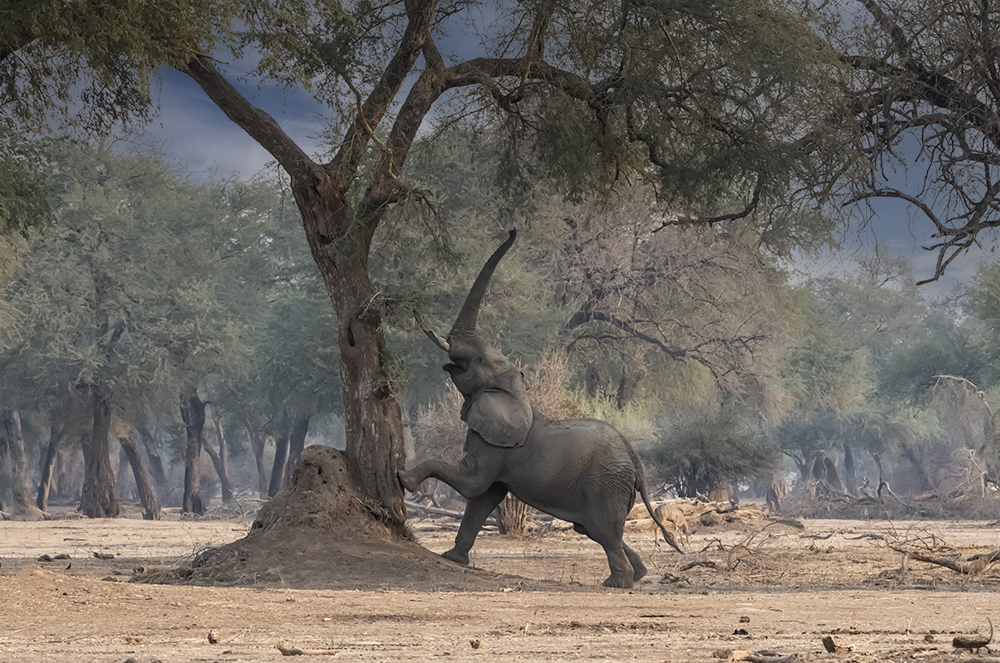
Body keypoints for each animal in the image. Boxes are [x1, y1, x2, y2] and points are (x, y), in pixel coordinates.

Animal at [402, 231, 684, 588]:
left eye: (476, 360)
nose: (512, 231)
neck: (516, 391)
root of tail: (635, 460)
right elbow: (483, 498)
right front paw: (452, 558)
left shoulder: (495, 445)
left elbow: (473, 484)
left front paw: (403, 479)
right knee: (597, 531)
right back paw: (638, 574)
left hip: (606, 483)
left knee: (605, 531)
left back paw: (617, 583)